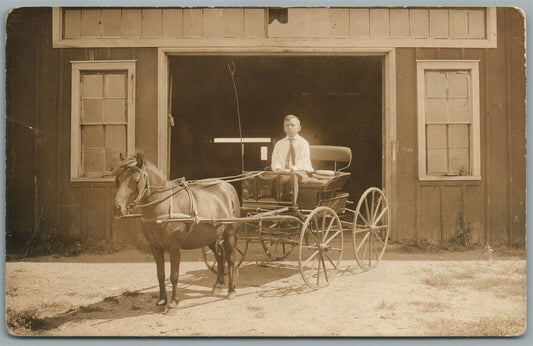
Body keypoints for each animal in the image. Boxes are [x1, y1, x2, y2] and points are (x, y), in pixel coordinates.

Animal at [113, 154, 240, 308]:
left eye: (136, 180)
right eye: (118, 179)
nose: (117, 208)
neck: (163, 205)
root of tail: (228, 187)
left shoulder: (174, 247)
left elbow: (174, 275)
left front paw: (173, 301)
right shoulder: (155, 247)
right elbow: (160, 274)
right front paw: (162, 300)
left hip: (230, 233)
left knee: (231, 259)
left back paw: (231, 290)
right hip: (211, 236)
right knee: (220, 255)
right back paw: (218, 285)